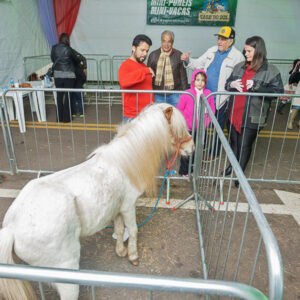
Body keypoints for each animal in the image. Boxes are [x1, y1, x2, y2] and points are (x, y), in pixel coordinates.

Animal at [0, 103, 193, 300]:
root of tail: (11, 228)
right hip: (66, 274)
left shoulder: (118, 209)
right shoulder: (128, 206)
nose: (192, 147)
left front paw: (121, 251)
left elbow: (119, 229)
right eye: (178, 129)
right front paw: (133, 255)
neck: (123, 163)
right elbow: (133, 230)